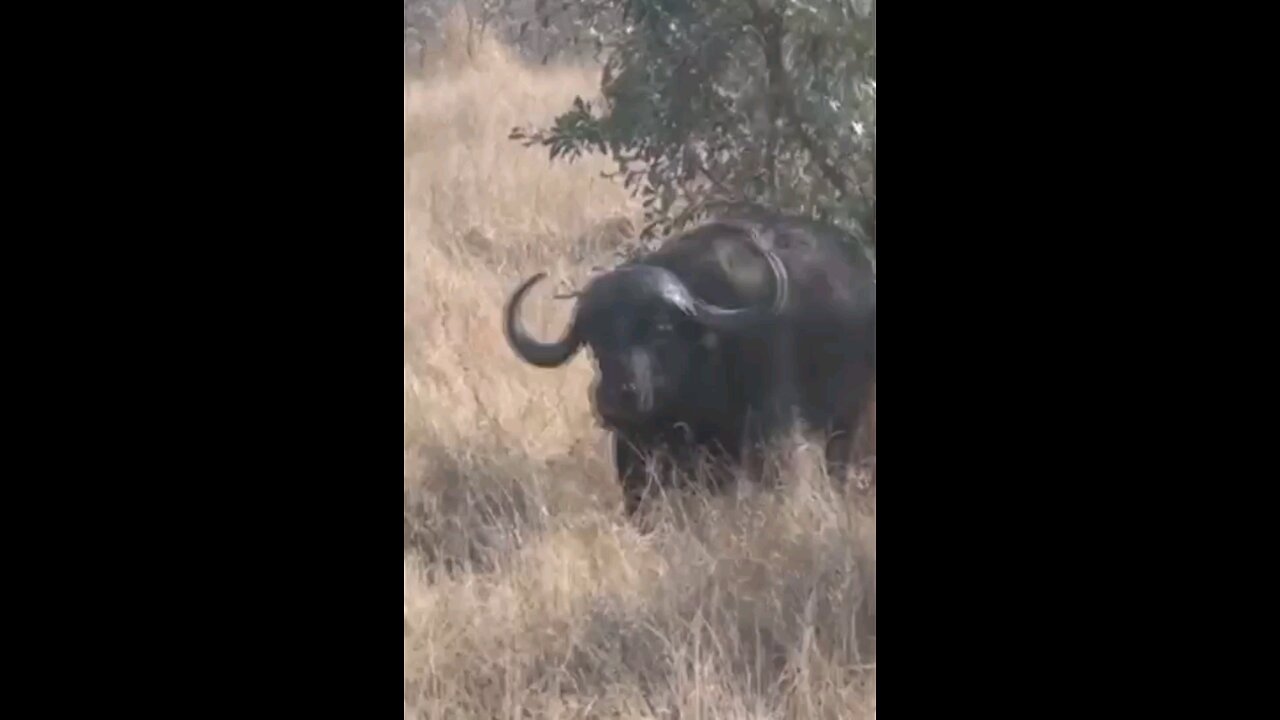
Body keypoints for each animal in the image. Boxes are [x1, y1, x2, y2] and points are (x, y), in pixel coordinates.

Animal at [504, 210, 875, 512]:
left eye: (661, 330)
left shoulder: (767, 432)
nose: (614, 398)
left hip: (846, 421)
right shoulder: (635, 448)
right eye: (594, 341)